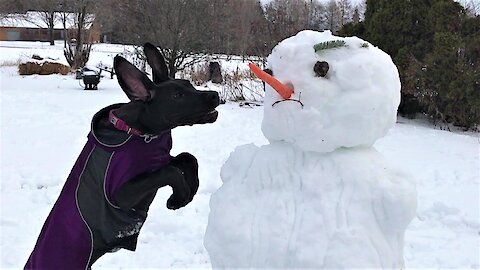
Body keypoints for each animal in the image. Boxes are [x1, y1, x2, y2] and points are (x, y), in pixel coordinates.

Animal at [25, 43, 220, 268]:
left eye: (189, 85)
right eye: (177, 96)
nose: (215, 95)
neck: (138, 133)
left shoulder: (159, 158)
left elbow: (188, 158)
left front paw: (189, 192)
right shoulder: (121, 195)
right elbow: (169, 172)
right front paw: (178, 197)